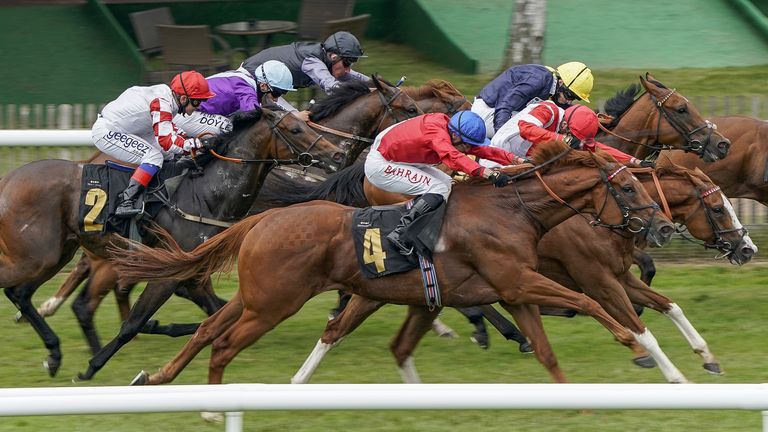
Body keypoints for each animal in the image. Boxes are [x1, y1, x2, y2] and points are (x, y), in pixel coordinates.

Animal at [0, 106, 344, 376]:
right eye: (295, 128)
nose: (337, 154)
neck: (206, 192)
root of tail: (9, 179)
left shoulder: (193, 273)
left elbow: (213, 311)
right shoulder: (169, 273)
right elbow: (133, 324)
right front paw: (92, 367)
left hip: (55, 254)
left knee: (21, 294)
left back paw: (54, 353)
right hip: (37, 256)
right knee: (27, 291)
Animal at [111, 142, 676, 388]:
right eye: (628, 189)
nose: (662, 227)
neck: (513, 210)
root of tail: (261, 220)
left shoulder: (505, 290)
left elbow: (547, 350)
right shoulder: (520, 281)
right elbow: (590, 302)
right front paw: (640, 348)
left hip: (258, 297)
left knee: (210, 329)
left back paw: (155, 377)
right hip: (274, 303)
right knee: (224, 343)